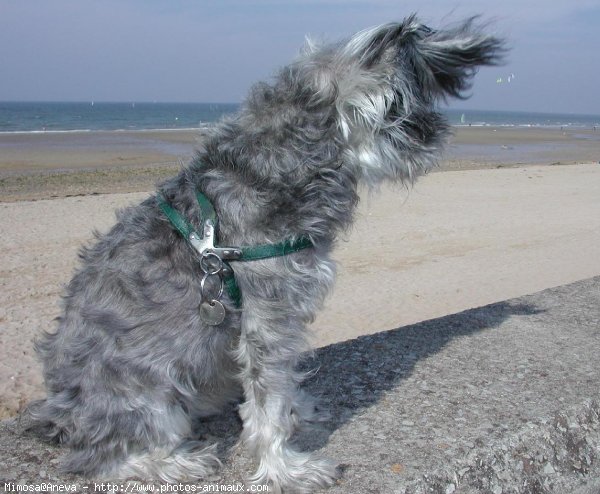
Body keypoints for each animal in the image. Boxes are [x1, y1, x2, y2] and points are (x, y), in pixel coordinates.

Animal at [30, 14, 504, 490]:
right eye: (403, 107)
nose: (437, 133)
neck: (277, 165)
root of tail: (59, 416)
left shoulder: (285, 314)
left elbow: (279, 386)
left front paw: (298, 411)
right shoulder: (269, 317)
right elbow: (267, 404)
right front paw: (283, 468)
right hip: (146, 399)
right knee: (103, 458)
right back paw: (175, 462)